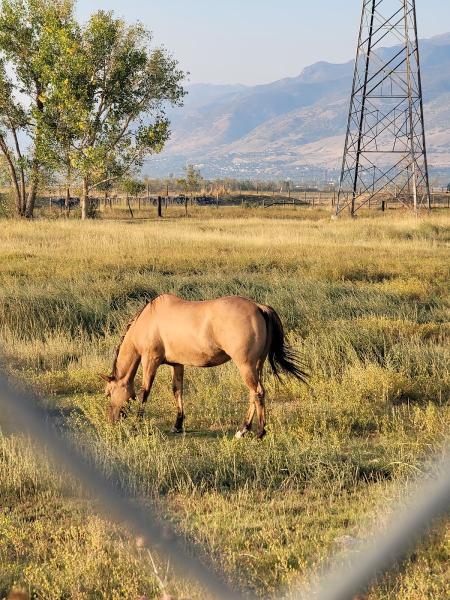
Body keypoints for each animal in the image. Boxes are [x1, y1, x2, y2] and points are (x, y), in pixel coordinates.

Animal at [101, 294, 306, 438]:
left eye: (109, 393)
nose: (111, 420)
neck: (148, 321)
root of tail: (259, 307)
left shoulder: (151, 360)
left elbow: (145, 391)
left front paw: (136, 423)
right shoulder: (177, 364)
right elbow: (177, 390)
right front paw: (177, 425)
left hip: (245, 365)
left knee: (257, 393)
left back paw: (257, 432)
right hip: (257, 366)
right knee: (254, 395)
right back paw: (244, 430)